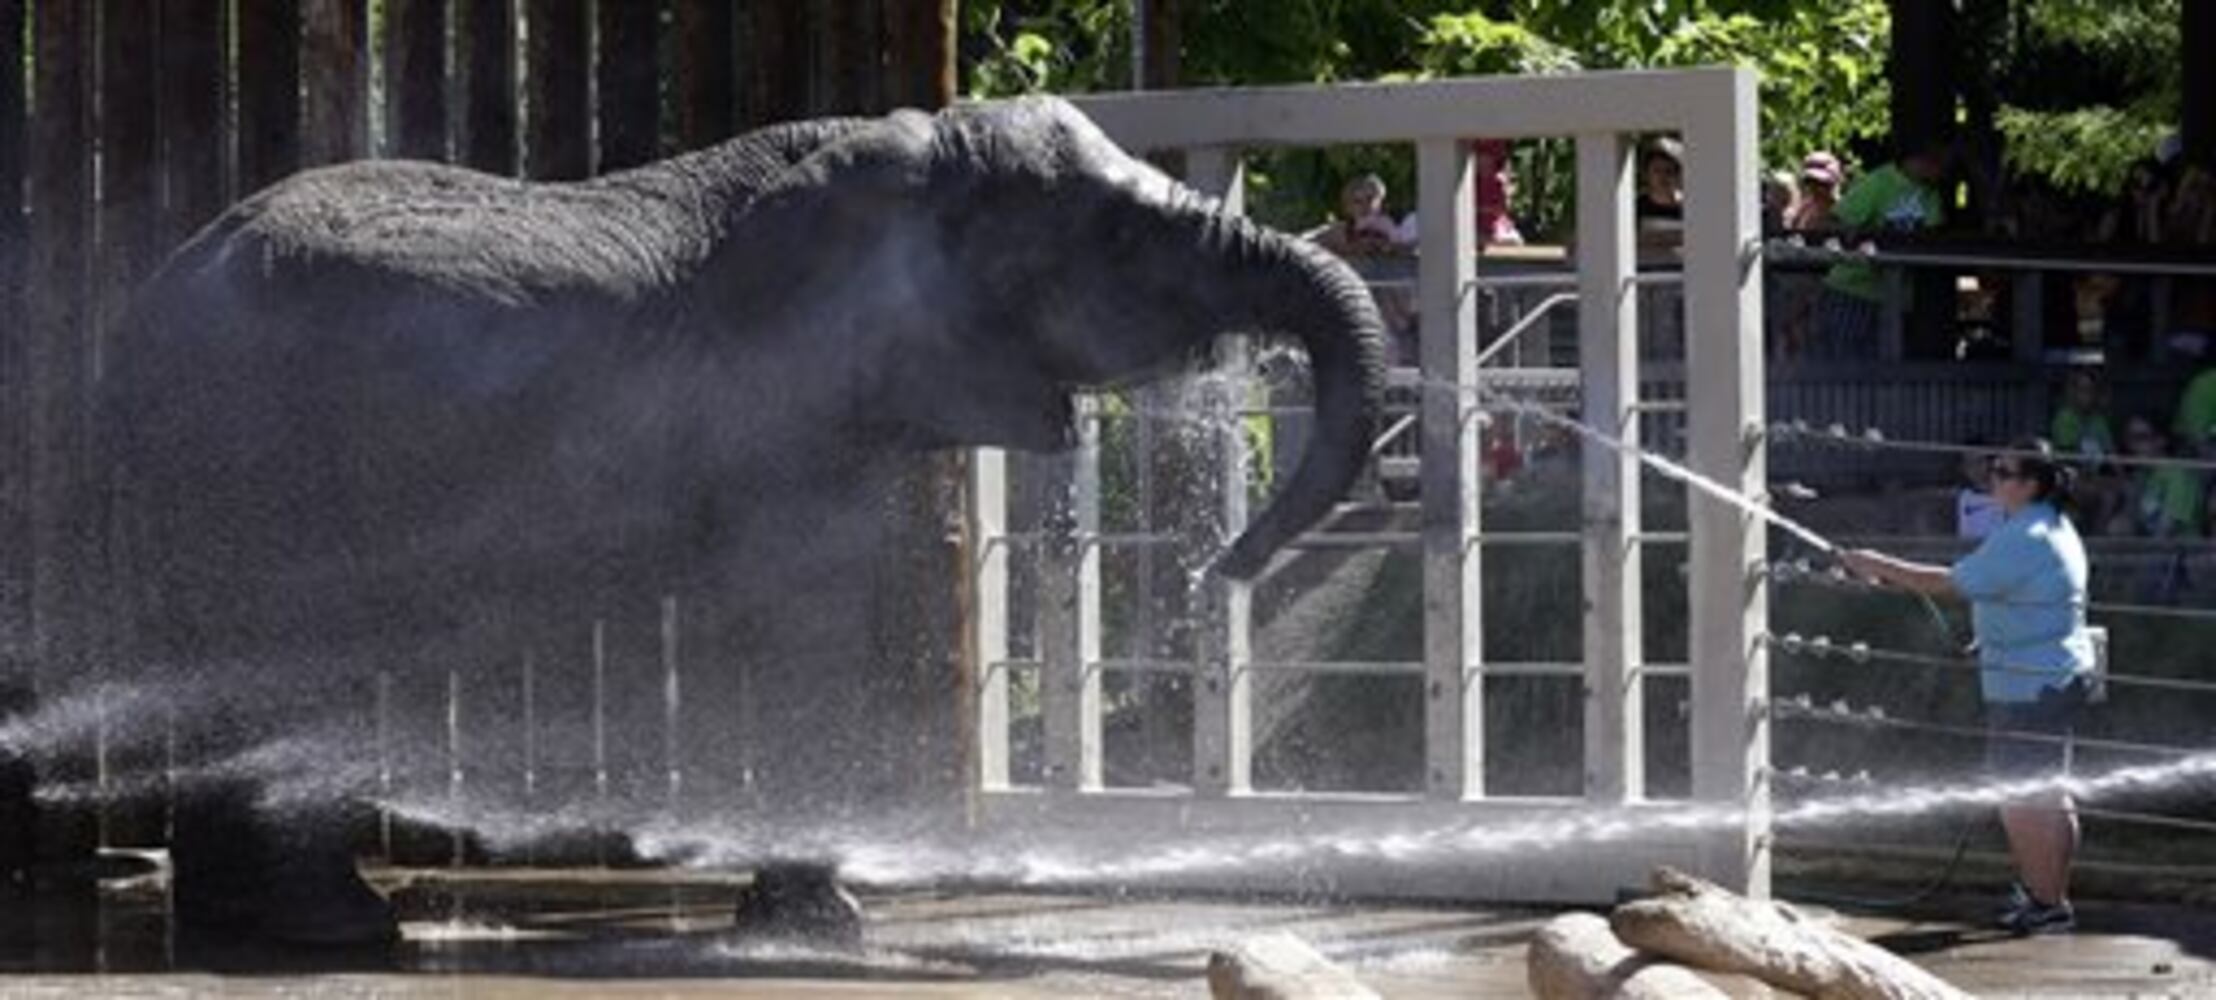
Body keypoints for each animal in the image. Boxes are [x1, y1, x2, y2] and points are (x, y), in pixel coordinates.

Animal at [56, 94, 1382, 949]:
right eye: (1114, 237)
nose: (1223, 569)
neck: (897, 147)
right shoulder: (781, 393)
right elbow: (803, 620)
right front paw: (823, 929)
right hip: (253, 463)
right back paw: (338, 934)